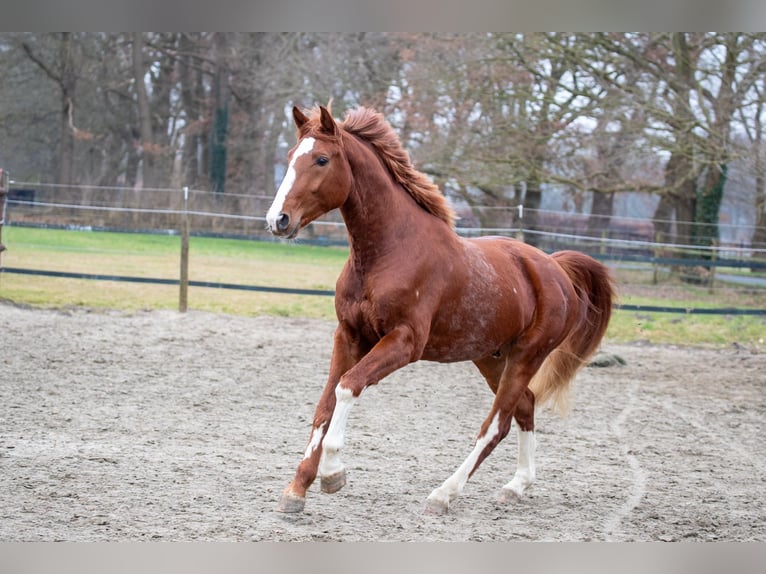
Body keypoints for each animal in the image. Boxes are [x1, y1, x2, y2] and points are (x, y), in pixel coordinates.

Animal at [268, 104, 616, 516]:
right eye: (292, 156)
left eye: (322, 159)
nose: (278, 220)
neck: (388, 253)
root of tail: (555, 268)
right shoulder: (348, 336)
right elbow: (324, 405)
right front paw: (297, 488)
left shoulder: (404, 342)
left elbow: (348, 387)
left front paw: (334, 472)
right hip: (491, 357)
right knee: (525, 406)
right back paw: (516, 486)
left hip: (527, 356)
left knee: (496, 424)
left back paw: (444, 494)